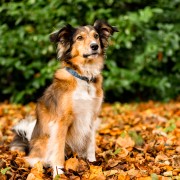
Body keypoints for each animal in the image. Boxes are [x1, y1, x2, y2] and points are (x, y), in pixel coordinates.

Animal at [10, 20, 118, 176]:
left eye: (96, 36)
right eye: (79, 38)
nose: (94, 46)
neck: (84, 78)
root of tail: (29, 144)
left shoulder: (92, 117)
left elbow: (91, 144)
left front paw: (92, 163)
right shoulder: (61, 121)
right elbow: (58, 149)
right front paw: (59, 172)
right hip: (43, 143)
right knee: (33, 160)